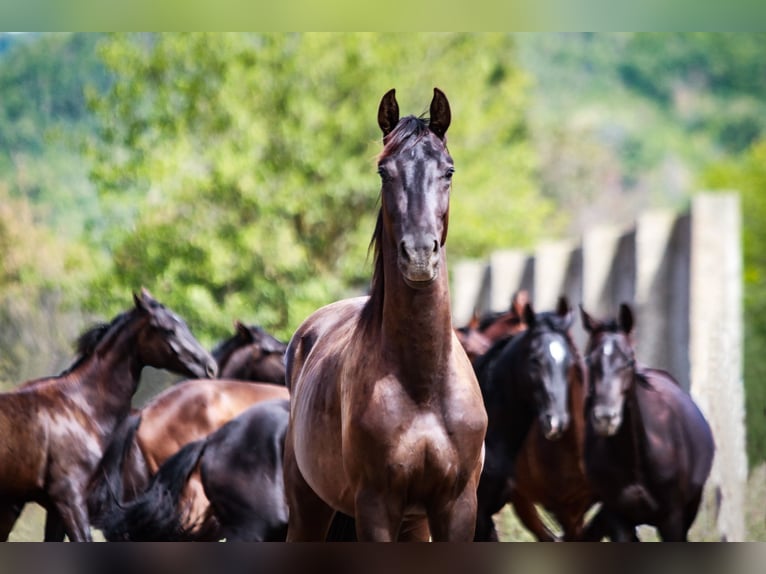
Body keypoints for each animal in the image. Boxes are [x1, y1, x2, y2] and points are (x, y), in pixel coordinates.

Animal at [0, 290, 216, 544]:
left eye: (184, 324)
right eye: (167, 329)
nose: (210, 367)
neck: (82, 408)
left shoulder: (54, 509)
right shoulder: (69, 500)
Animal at [282, 88, 486, 544]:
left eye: (448, 171)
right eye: (383, 172)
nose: (419, 254)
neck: (422, 386)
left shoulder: (457, 506)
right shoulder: (376, 505)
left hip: (415, 522)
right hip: (307, 506)